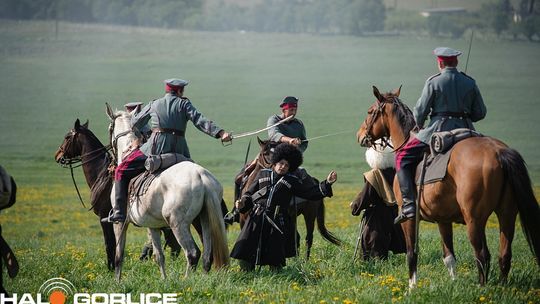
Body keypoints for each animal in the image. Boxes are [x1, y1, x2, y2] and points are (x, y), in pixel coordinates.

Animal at [106, 104, 229, 280]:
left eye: (110, 128)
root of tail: (202, 176)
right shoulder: (152, 225)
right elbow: (159, 256)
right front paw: (164, 280)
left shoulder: (120, 223)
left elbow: (118, 256)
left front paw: (117, 281)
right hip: (205, 219)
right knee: (207, 255)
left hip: (178, 223)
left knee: (192, 253)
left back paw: (186, 281)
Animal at [356, 85, 536, 288]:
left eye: (370, 111)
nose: (360, 135)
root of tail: (498, 151)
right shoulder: (443, 219)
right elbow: (449, 256)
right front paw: (454, 283)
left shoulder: (408, 220)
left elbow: (411, 254)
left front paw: (412, 287)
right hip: (507, 214)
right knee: (504, 255)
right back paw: (502, 288)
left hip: (475, 220)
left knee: (482, 255)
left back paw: (481, 288)